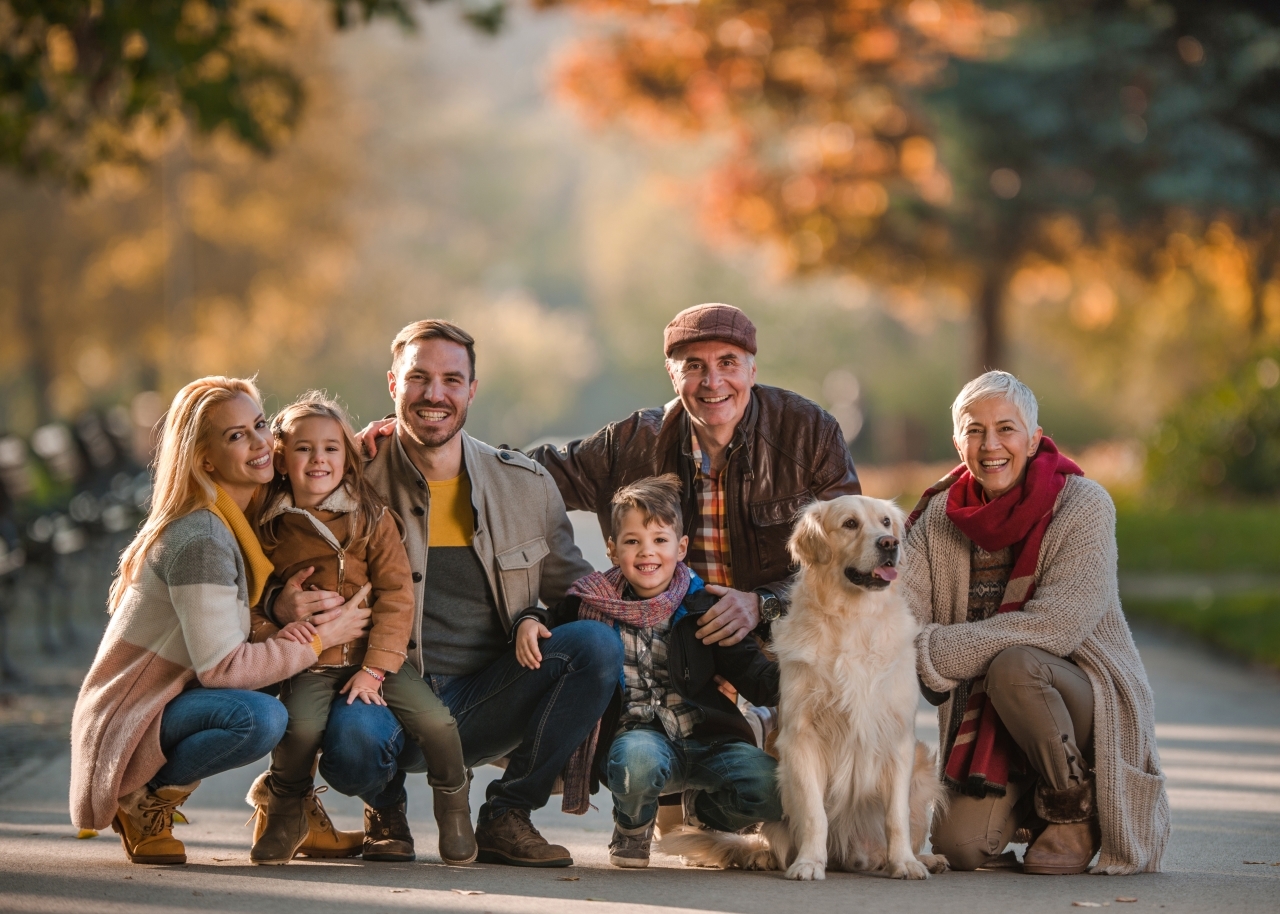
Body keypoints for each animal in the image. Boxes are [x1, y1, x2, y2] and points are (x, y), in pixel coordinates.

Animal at [665, 494, 947, 880]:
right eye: (850, 524)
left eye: (886, 522)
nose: (890, 544)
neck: (853, 620)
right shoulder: (801, 737)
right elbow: (814, 814)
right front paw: (809, 863)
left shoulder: (899, 738)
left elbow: (896, 816)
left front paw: (905, 862)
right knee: (772, 838)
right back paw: (763, 856)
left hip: (923, 771)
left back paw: (925, 858)